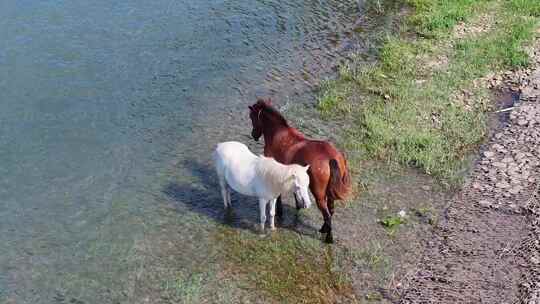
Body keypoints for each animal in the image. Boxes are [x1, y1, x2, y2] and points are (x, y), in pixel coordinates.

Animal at [248, 98, 352, 243]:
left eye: (252, 117)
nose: (254, 135)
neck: (278, 134)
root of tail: (331, 157)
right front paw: (298, 205)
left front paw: (280, 211)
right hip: (330, 193)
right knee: (331, 211)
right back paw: (323, 229)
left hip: (319, 193)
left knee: (327, 214)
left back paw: (328, 238)